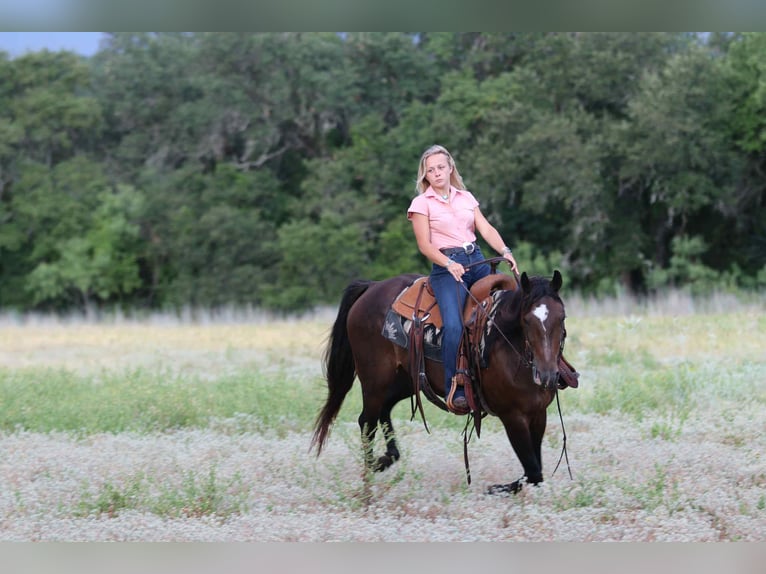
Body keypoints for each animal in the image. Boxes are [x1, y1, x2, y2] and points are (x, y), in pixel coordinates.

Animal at [311, 269, 569, 494]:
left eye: (562, 317)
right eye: (527, 320)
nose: (547, 375)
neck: (506, 343)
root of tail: (372, 287)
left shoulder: (538, 414)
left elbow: (535, 472)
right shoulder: (512, 416)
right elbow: (533, 471)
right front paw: (497, 488)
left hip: (406, 380)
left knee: (383, 410)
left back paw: (386, 459)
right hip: (375, 380)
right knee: (367, 422)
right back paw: (368, 485)